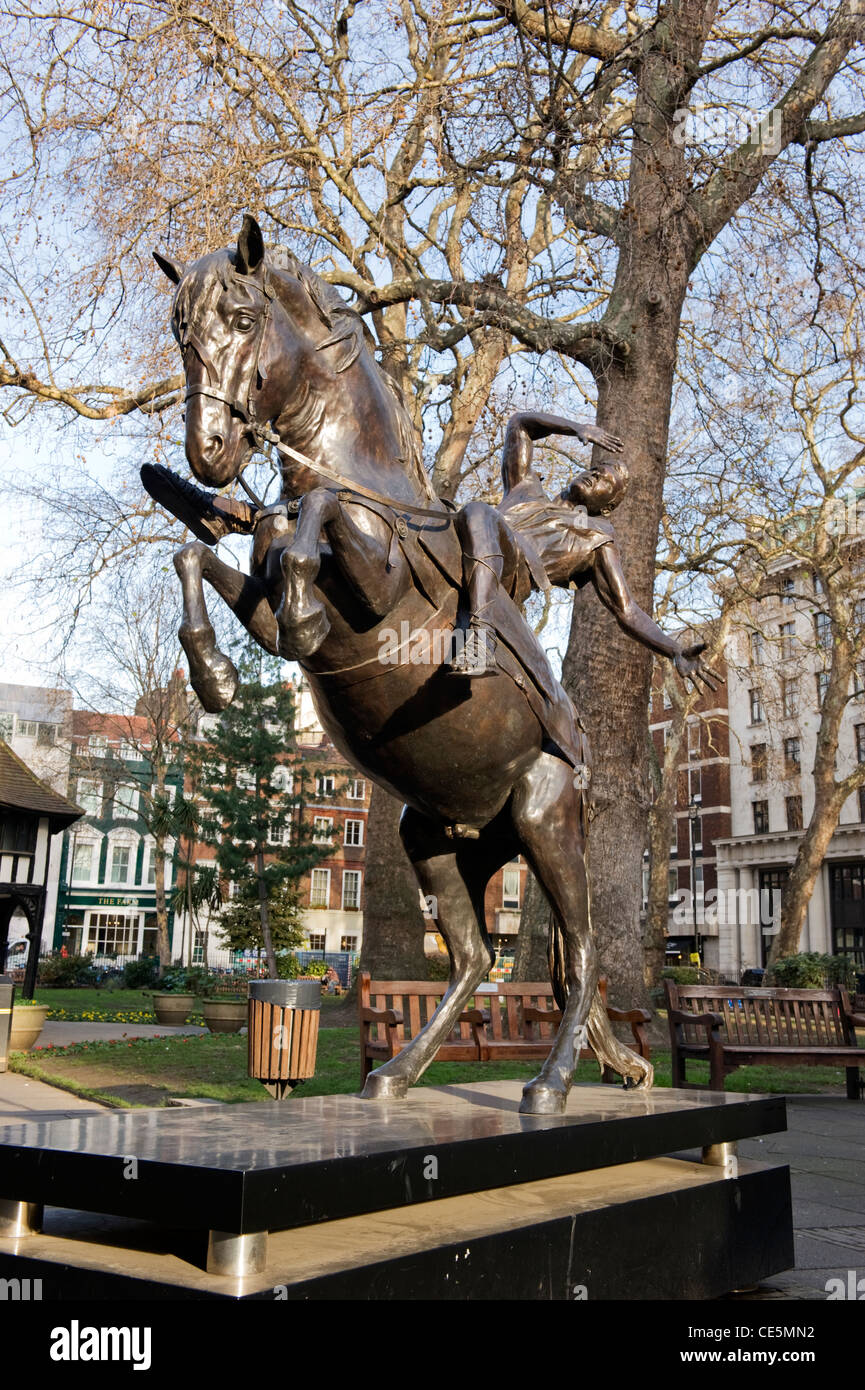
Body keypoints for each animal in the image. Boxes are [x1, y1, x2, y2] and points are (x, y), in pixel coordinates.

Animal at [152, 214, 653, 1117]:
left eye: (241, 320)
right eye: (180, 332)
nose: (207, 452)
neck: (371, 487)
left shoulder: (376, 582)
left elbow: (316, 521)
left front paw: (298, 600)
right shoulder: (260, 608)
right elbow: (194, 557)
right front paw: (213, 674)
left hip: (544, 816)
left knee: (584, 950)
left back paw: (551, 1084)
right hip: (437, 837)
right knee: (475, 960)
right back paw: (396, 1074)